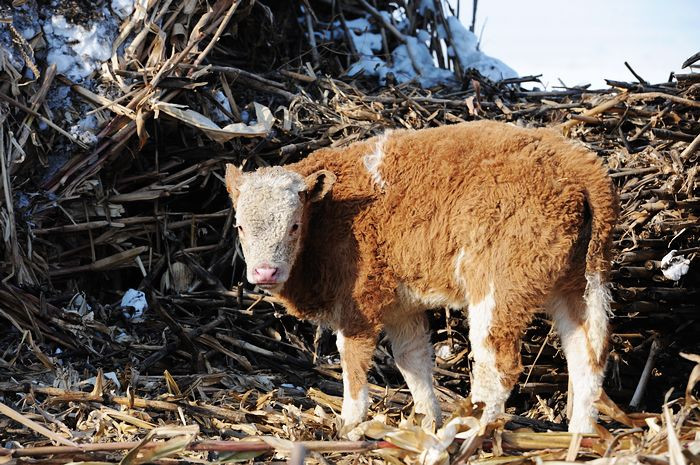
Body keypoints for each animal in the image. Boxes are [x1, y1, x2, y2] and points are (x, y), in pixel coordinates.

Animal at [226, 118, 616, 432]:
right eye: (240, 226)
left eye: (294, 226)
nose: (265, 271)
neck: (332, 211)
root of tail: (575, 162)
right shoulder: (402, 304)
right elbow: (412, 358)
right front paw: (427, 419)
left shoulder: (360, 300)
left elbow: (352, 356)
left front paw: (350, 423)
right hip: (582, 282)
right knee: (588, 356)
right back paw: (580, 436)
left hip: (498, 287)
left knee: (497, 365)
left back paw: (465, 432)